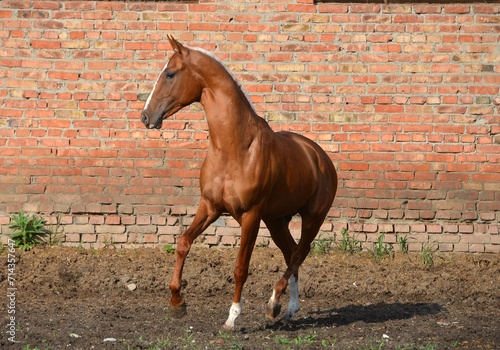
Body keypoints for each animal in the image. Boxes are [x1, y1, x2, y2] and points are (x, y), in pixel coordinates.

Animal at [142, 36, 336, 330]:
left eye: (170, 74)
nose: (146, 116)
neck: (234, 148)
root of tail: (320, 157)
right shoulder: (210, 207)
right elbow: (183, 242)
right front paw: (177, 303)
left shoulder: (250, 216)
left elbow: (240, 267)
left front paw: (232, 317)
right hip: (276, 221)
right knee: (291, 252)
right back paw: (288, 309)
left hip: (312, 218)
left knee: (300, 253)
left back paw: (273, 304)